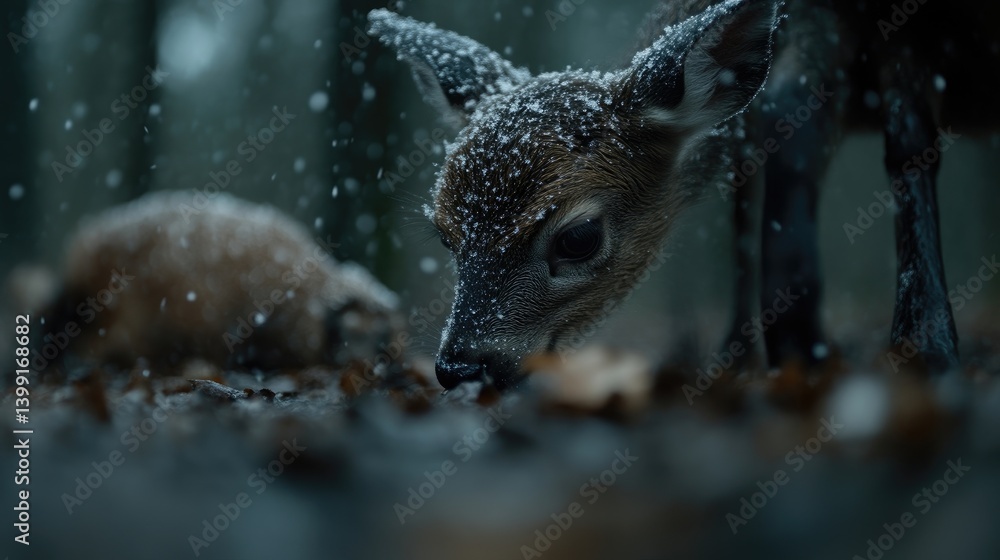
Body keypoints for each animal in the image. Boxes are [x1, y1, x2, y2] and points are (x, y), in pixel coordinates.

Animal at [369, 0, 994, 390]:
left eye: (578, 237)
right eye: (445, 237)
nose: (460, 367)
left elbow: (907, 142)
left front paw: (928, 351)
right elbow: (761, 165)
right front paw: (748, 358)